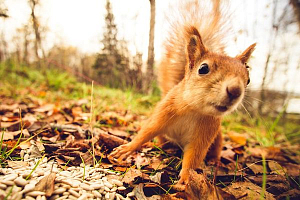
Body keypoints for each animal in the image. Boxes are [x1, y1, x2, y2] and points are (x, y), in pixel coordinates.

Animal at [110, 0, 255, 184]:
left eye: (248, 79)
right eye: (203, 68)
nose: (235, 90)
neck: (193, 110)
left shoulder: (205, 133)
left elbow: (194, 156)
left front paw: (187, 178)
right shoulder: (164, 112)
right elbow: (146, 132)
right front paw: (127, 148)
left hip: (218, 138)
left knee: (214, 150)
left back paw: (214, 160)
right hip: (164, 136)